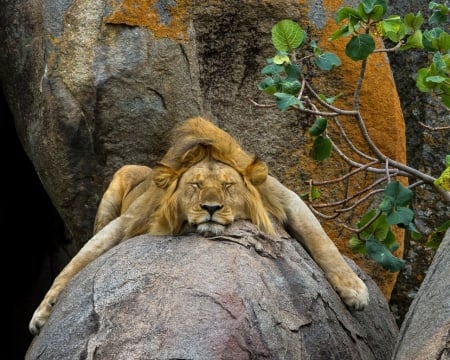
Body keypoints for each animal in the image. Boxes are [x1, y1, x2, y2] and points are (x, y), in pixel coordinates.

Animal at [30, 116, 370, 336]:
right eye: (194, 185)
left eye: (228, 186)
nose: (211, 208)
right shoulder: (127, 222)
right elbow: (76, 263)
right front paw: (43, 311)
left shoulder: (285, 199)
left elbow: (322, 242)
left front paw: (354, 290)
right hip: (119, 179)